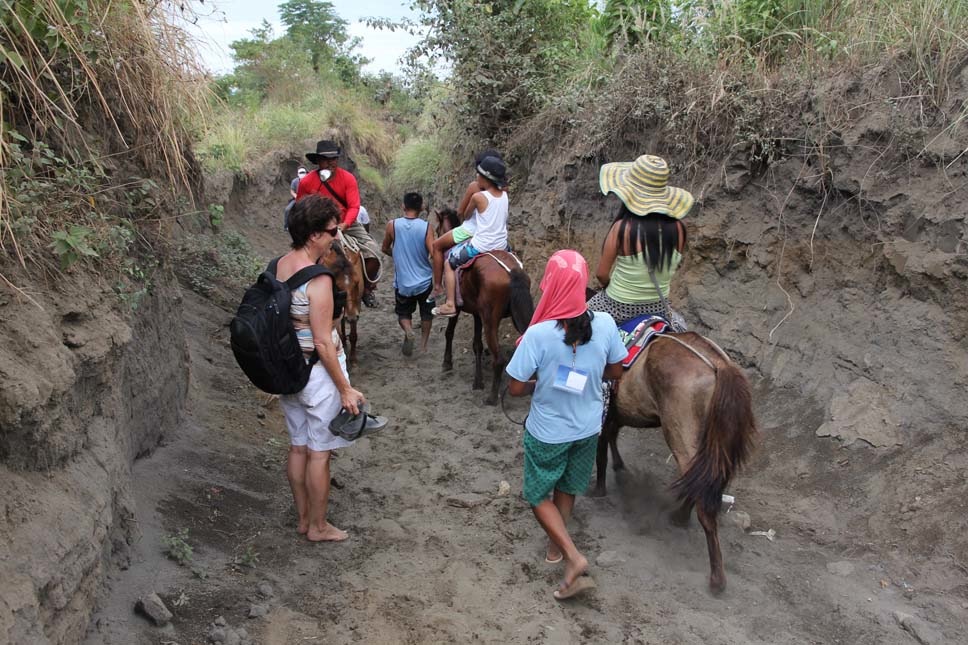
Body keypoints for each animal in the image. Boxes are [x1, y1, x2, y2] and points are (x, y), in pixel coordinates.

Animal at [320, 238, 364, 368]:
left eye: (357, 282)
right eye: (338, 286)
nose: (351, 317)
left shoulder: (356, 306)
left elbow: (353, 335)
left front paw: (353, 359)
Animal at [432, 209, 532, 406]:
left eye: (438, 228)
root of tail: (512, 271)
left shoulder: (458, 308)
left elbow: (449, 332)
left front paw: (447, 363)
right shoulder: (478, 314)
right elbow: (477, 345)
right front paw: (478, 381)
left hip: (490, 319)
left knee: (499, 359)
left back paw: (492, 397)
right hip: (516, 315)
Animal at [592, 332, 760, 592]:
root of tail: (718, 366)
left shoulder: (604, 404)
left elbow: (601, 445)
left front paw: (598, 489)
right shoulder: (616, 411)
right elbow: (610, 435)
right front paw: (618, 468)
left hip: (680, 432)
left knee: (699, 489)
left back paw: (716, 579)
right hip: (714, 445)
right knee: (700, 481)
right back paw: (679, 518)